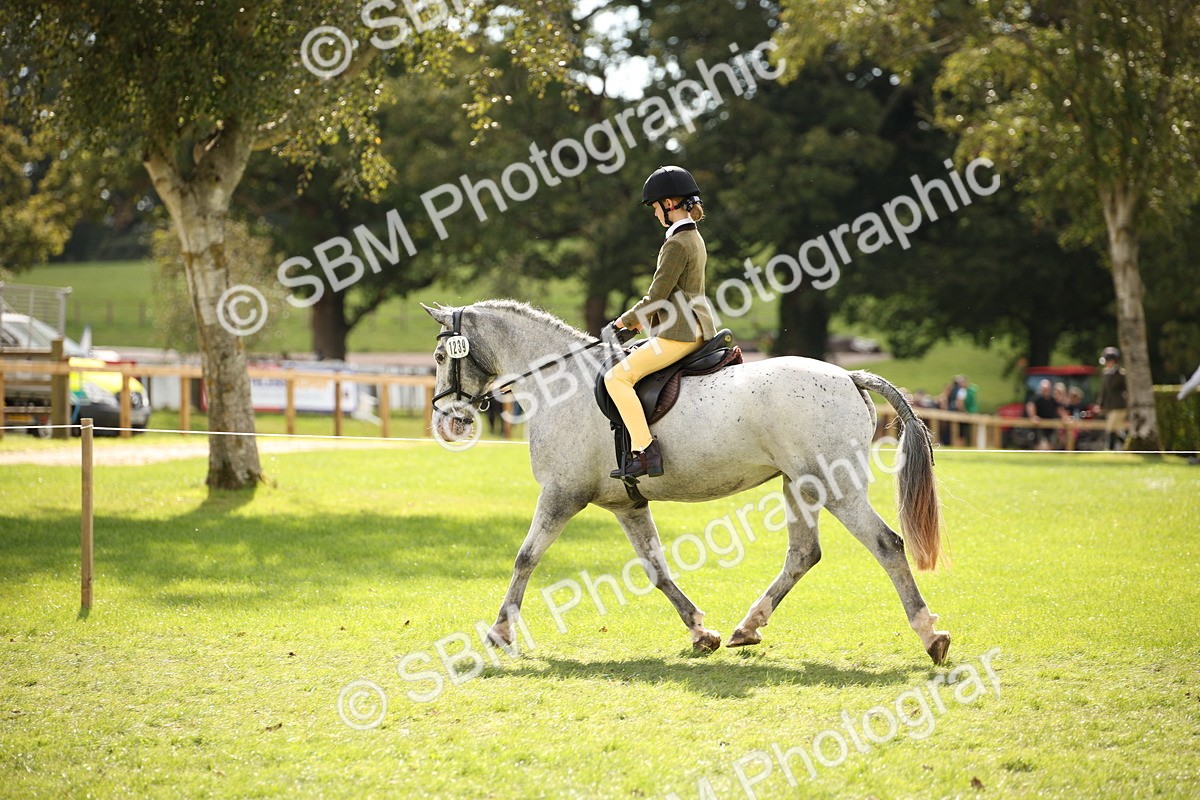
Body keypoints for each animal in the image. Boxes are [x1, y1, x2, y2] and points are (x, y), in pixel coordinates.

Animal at [422, 300, 951, 664]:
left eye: (440, 356)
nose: (448, 423)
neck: (560, 384)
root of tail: (849, 376)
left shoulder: (561, 495)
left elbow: (525, 557)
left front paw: (500, 630)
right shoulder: (626, 504)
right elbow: (656, 569)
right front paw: (701, 631)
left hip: (835, 486)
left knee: (886, 544)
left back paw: (931, 635)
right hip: (800, 486)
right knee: (803, 554)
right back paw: (746, 628)